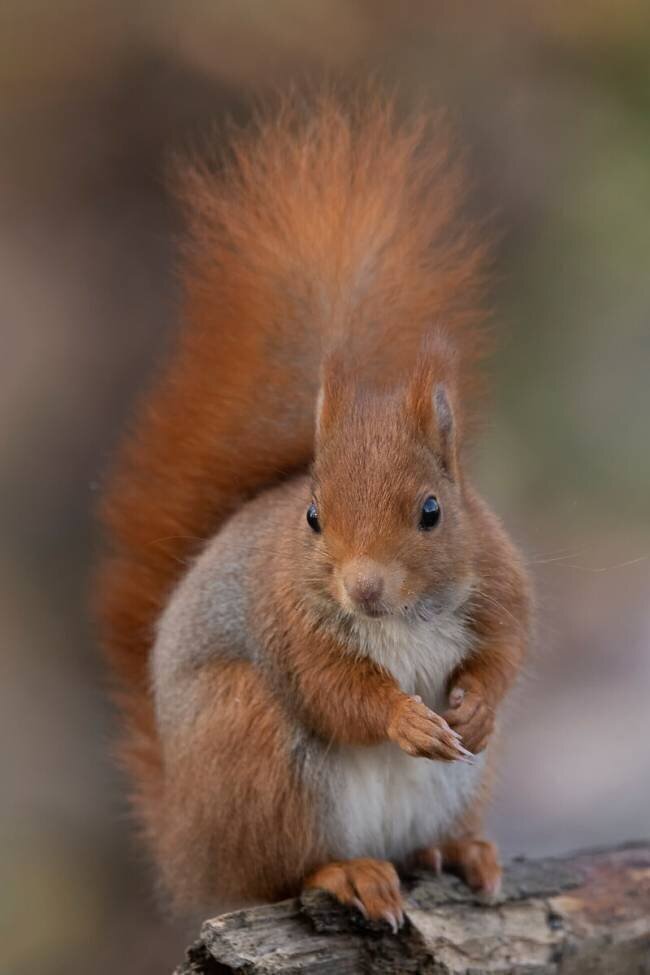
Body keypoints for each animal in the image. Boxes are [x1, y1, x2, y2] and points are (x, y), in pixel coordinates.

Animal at [98, 93, 531, 927]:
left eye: (434, 510)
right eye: (313, 517)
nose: (362, 588)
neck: (404, 618)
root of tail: (187, 847)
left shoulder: (500, 580)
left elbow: (507, 651)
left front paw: (477, 706)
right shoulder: (290, 628)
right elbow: (337, 693)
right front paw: (405, 717)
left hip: (461, 782)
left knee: (420, 840)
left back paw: (457, 848)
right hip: (254, 748)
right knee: (281, 871)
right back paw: (349, 873)